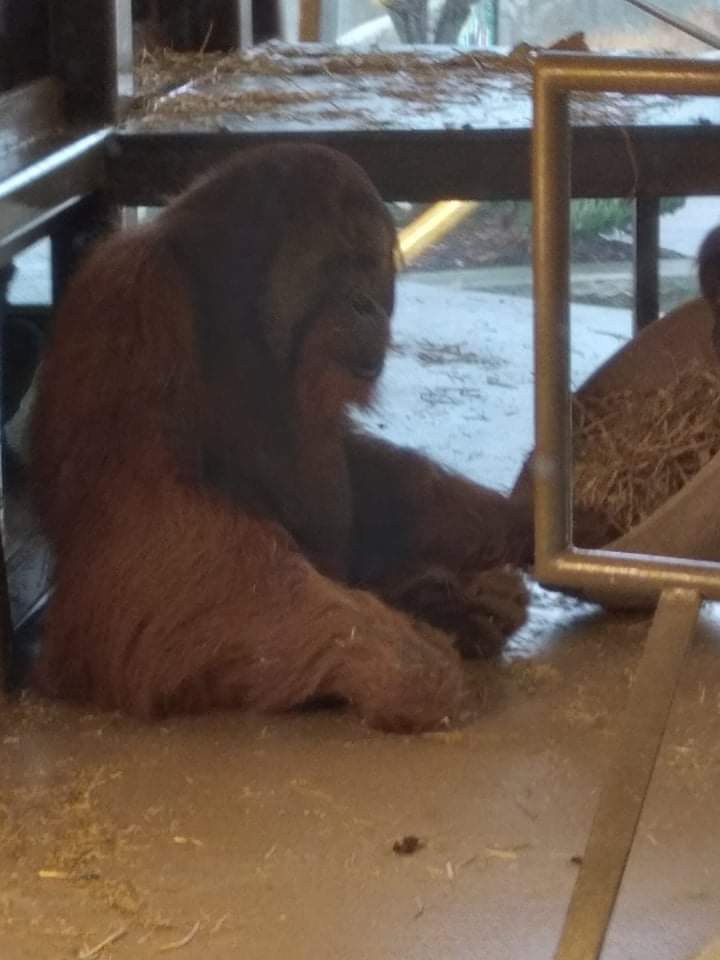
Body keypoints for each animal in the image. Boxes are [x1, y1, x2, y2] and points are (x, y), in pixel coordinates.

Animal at [30, 143, 531, 733]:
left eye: (370, 264)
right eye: (338, 265)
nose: (367, 304)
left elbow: (359, 466)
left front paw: (513, 515)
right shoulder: (133, 310)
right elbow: (149, 524)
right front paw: (400, 659)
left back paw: (460, 598)